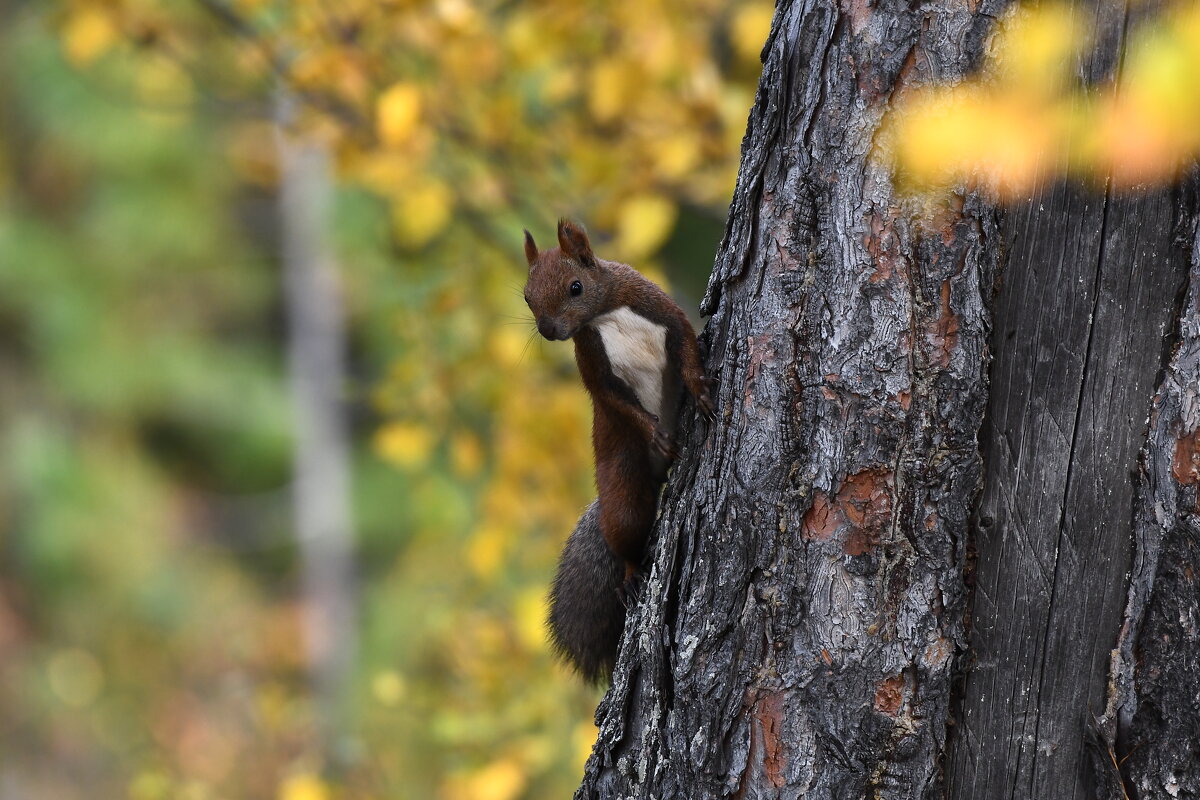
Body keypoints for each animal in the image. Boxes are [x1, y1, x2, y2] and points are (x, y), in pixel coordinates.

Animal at [523, 219, 710, 681]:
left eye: (575, 287)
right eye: (527, 296)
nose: (549, 330)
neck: (605, 314)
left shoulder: (661, 309)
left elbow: (687, 344)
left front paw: (699, 388)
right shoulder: (593, 365)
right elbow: (613, 400)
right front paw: (655, 432)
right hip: (624, 485)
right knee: (625, 534)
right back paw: (629, 574)